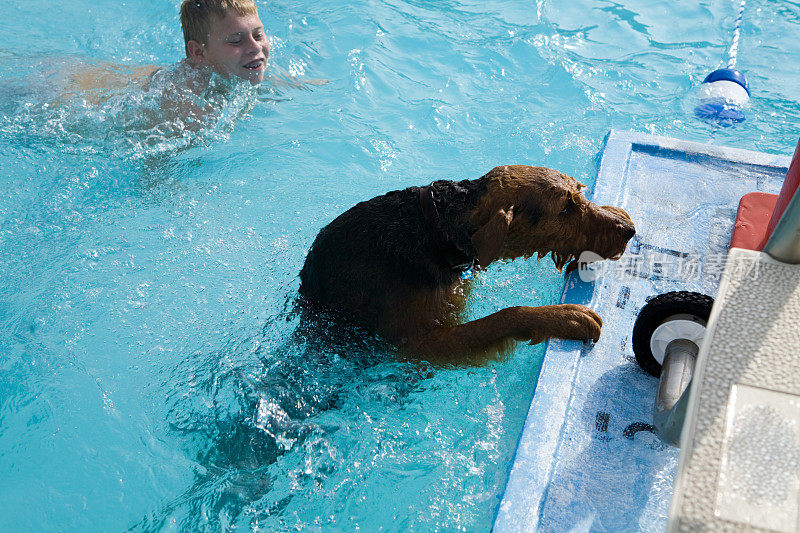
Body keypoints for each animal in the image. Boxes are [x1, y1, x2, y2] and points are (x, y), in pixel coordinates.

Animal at [296, 164, 636, 360]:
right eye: (564, 209)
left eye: (580, 193)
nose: (628, 231)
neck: (436, 229)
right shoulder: (418, 345)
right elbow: (507, 315)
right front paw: (565, 316)